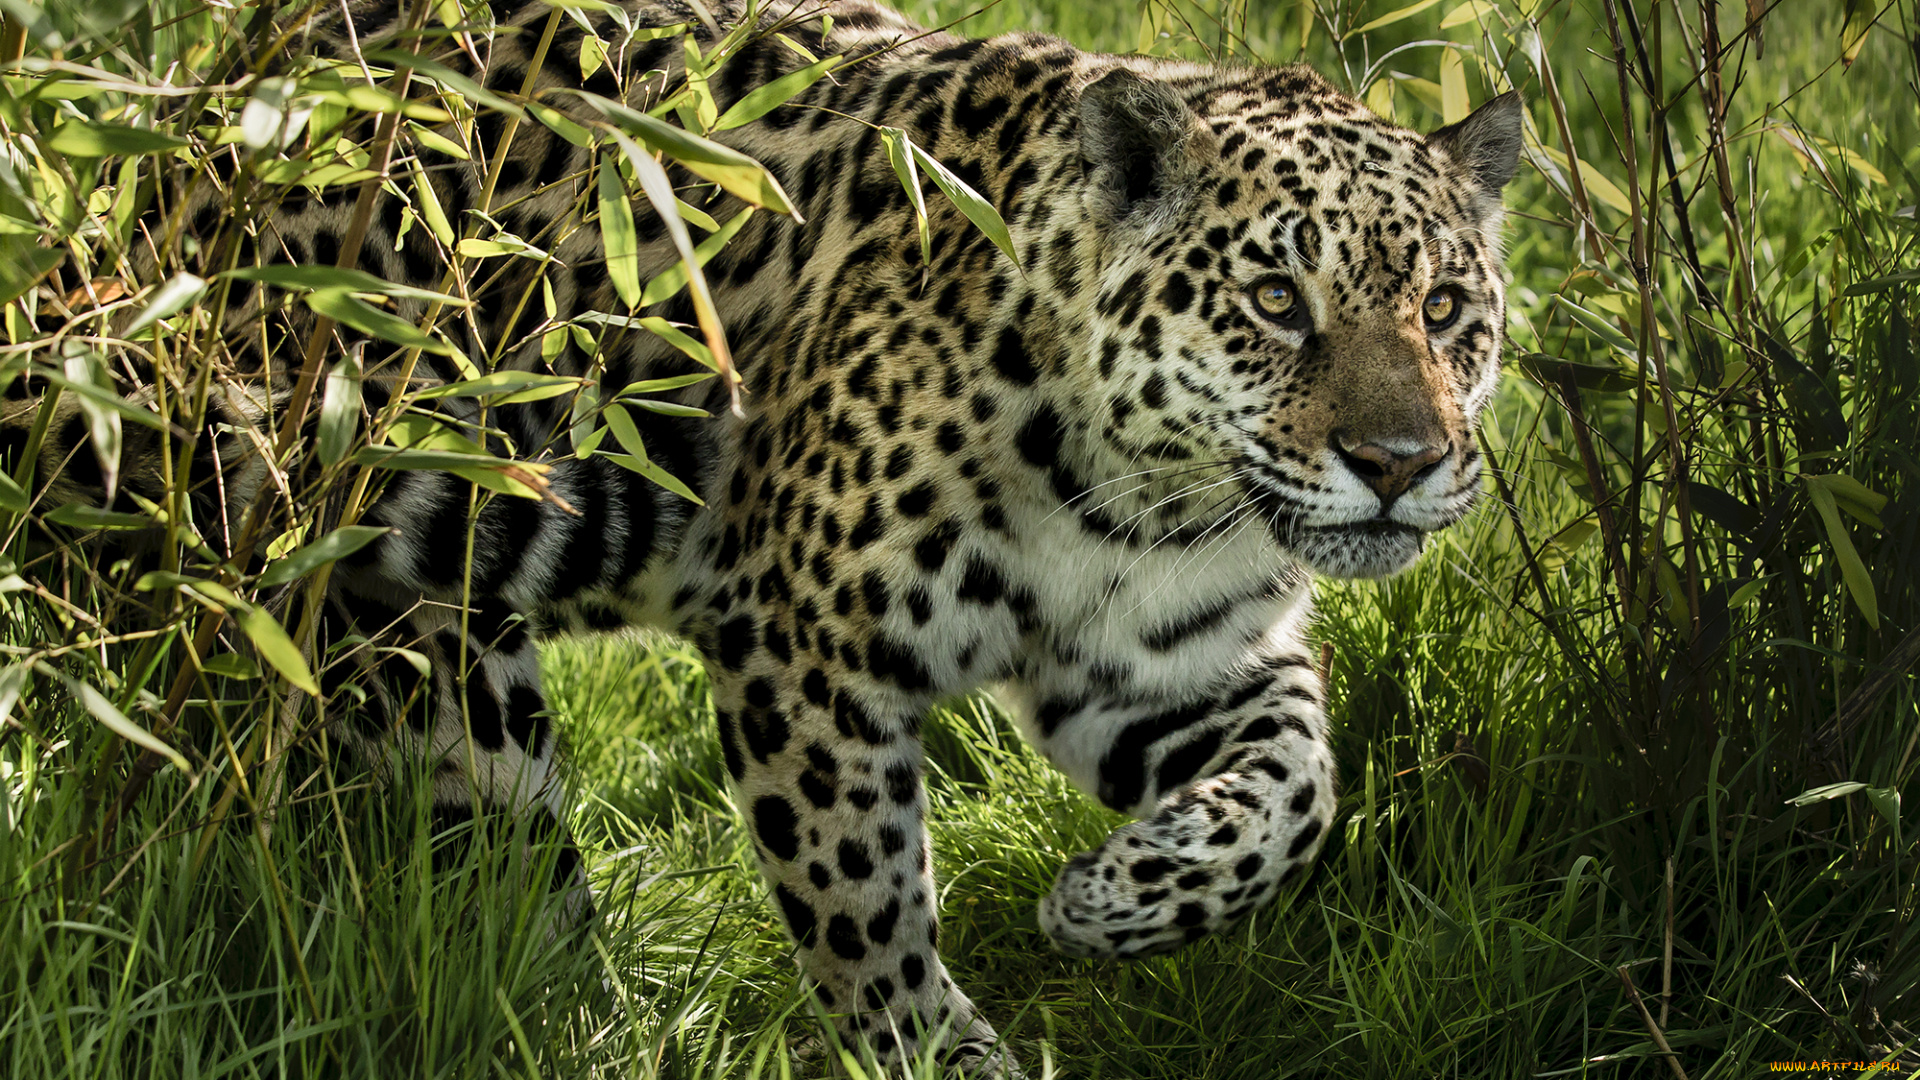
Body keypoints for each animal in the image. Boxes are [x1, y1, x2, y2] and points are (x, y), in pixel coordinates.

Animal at [2, 0, 1522, 1071]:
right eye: (1274, 300)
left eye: (1446, 307)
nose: (1402, 466)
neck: (1145, 498)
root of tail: (215, 111)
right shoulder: (809, 654)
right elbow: (866, 909)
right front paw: (935, 1060)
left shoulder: (1168, 672)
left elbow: (1299, 788)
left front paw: (1114, 901)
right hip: (406, 624)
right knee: (512, 900)